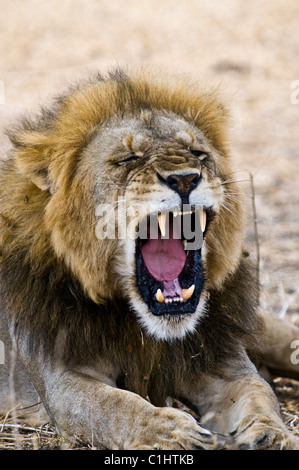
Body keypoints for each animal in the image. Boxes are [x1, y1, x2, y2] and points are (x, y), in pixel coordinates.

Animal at [0, 69, 299, 448]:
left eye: (198, 153)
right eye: (129, 158)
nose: (185, 178)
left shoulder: (225, 364)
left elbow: (257, 392)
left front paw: (271, 435)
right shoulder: (64, 382)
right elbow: (116, 406)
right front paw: (170, 431)